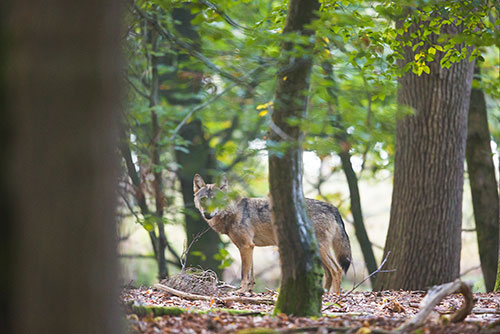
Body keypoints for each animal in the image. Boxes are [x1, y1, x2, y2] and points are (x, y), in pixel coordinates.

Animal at [191, 174, 352, 294]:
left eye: (215, 200)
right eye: (203, 199)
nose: (207, 214)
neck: (232, 212)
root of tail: (332, 207)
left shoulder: (245, 246)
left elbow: (243, 273)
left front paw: (240, 291)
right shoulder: (250, 247)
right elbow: (251, 274)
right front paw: (248, 291)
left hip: (321, 249)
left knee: (337, 270)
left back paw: (335, 296)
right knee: (328, 273)